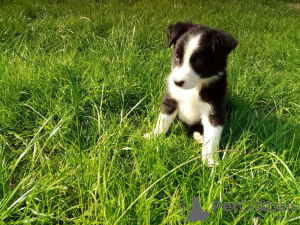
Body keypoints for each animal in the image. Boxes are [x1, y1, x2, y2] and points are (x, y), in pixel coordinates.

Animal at [144, 21, 238, 165]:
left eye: (199, 62)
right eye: (177, 56)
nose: (177, 82)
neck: (193, 89)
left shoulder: (214, 110)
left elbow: (211, 139)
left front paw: (210, 161)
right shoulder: (171, 100)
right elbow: (162, 121)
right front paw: (154, 137)